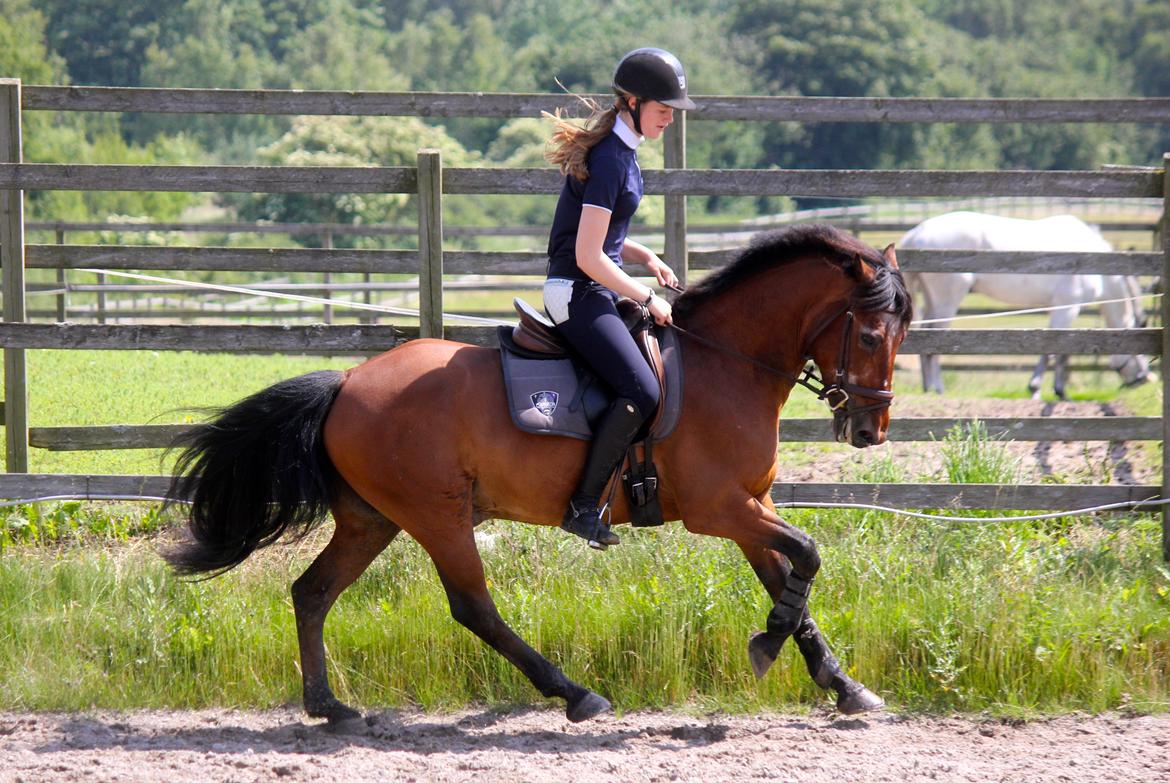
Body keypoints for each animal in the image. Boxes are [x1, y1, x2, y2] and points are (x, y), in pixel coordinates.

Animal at [164, 224, 912, 727]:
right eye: (872, 335)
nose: (870, 431)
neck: (724, 362)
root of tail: (348, 381)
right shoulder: (720, 508)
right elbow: (808, 556)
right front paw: (768, 647)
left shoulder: (751, 505)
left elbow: (793, 582)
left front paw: (841, 683)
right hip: (437, 515)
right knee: (473, 607)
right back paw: (573, 693)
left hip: (371, 519)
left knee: (312, 592)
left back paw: (328, 705)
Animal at [901, 211, 1150, 400]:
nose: (1143, 379)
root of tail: (917, 232)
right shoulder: (1067, 307)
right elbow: (1055, 350)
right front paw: (1045, 390)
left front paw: (1053, 390)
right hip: (948, 300)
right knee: (934, 338)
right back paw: (938, 388)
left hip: (933, 300)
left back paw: (928, 388)